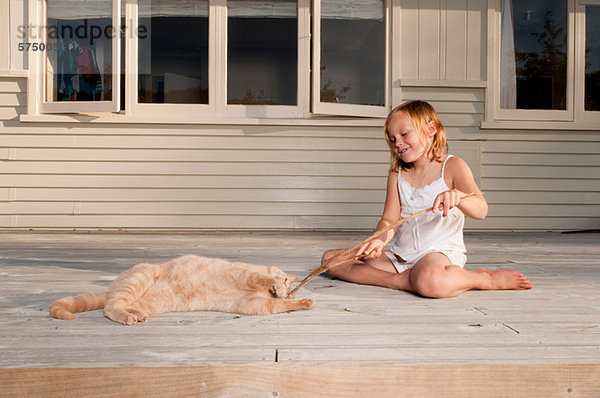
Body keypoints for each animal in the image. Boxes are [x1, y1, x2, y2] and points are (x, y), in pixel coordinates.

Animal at [50, 255, 314, 324]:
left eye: (291, 287)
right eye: (286, 279)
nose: (285, 288)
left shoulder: (252, 305)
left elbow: (279, 306)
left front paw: (302, 302)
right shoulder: (244, 274)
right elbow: (260, 277)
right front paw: (275, 286)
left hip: (149, 301)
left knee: (115, 305)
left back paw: (137, 315)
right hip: (140, 277)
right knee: (110, 307)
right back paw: (128, 317)